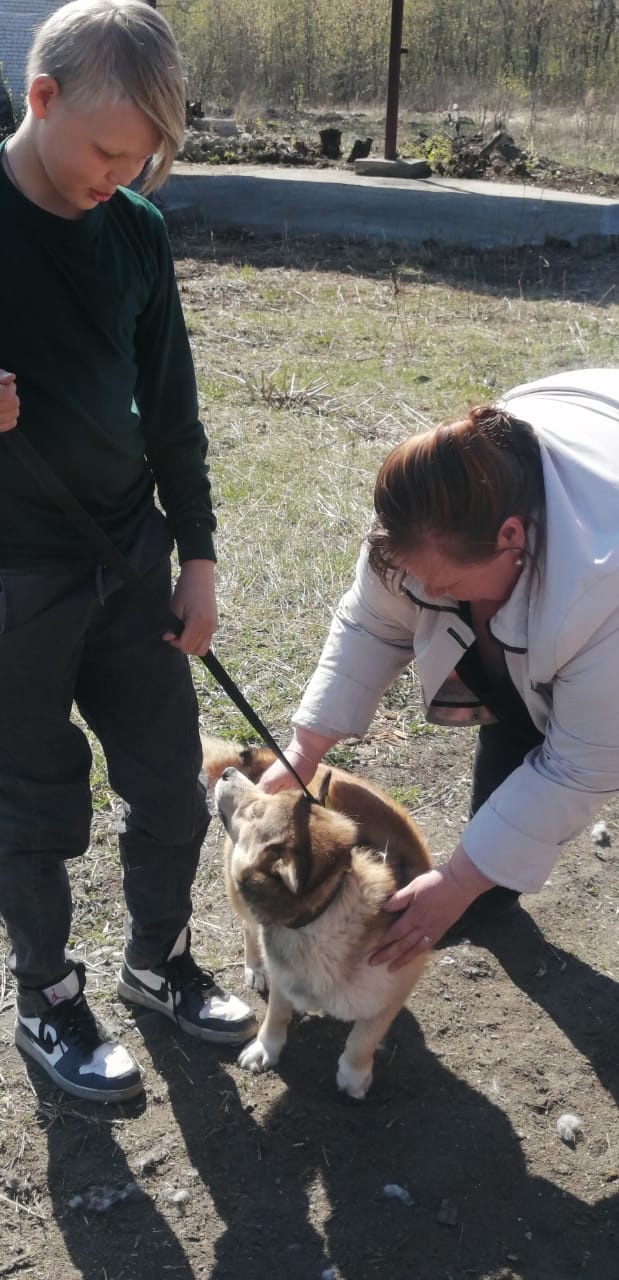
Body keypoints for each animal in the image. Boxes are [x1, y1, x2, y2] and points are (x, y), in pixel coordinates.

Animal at [203, 742, 429, 1100]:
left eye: (255, 811)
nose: (227, 774)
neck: (327, 909)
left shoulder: (396, 985)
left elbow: (362, 1039)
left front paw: (353, 1075)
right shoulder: (282, 974)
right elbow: (276, 1015)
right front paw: (266, 1048)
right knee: (248, 928)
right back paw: (254, 966)